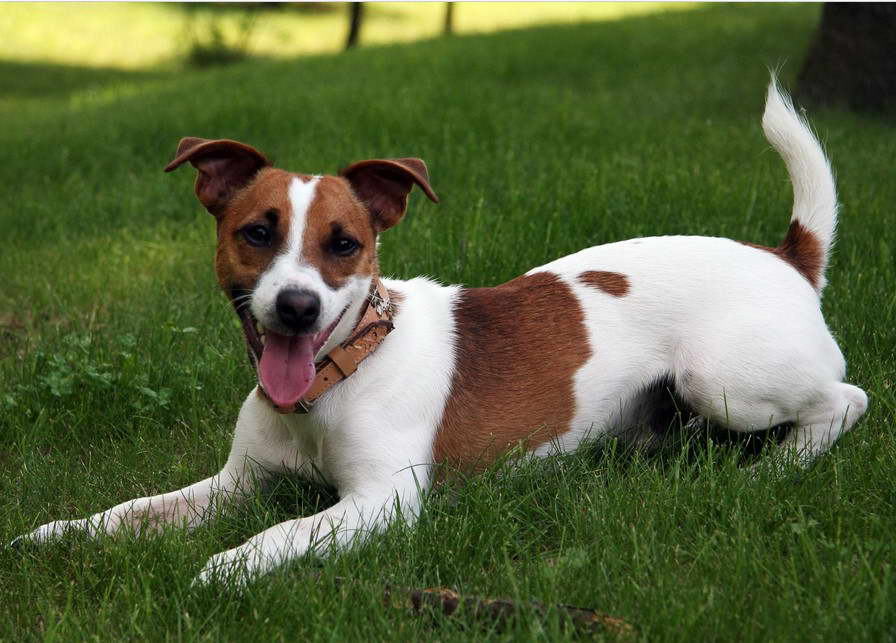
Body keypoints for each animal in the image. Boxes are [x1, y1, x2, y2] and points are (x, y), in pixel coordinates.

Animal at [12, 78, 868, 588]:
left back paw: (773, 468)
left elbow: (281, 532)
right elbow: (133, 510)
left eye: (344, 243)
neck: (340, 372)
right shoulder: (235, 483)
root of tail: (787, 257)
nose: (296, 307)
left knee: (845, 399)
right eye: (257, 231)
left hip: (721, 381)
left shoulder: (379, 504)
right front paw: (59, 533)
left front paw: (223, 568)